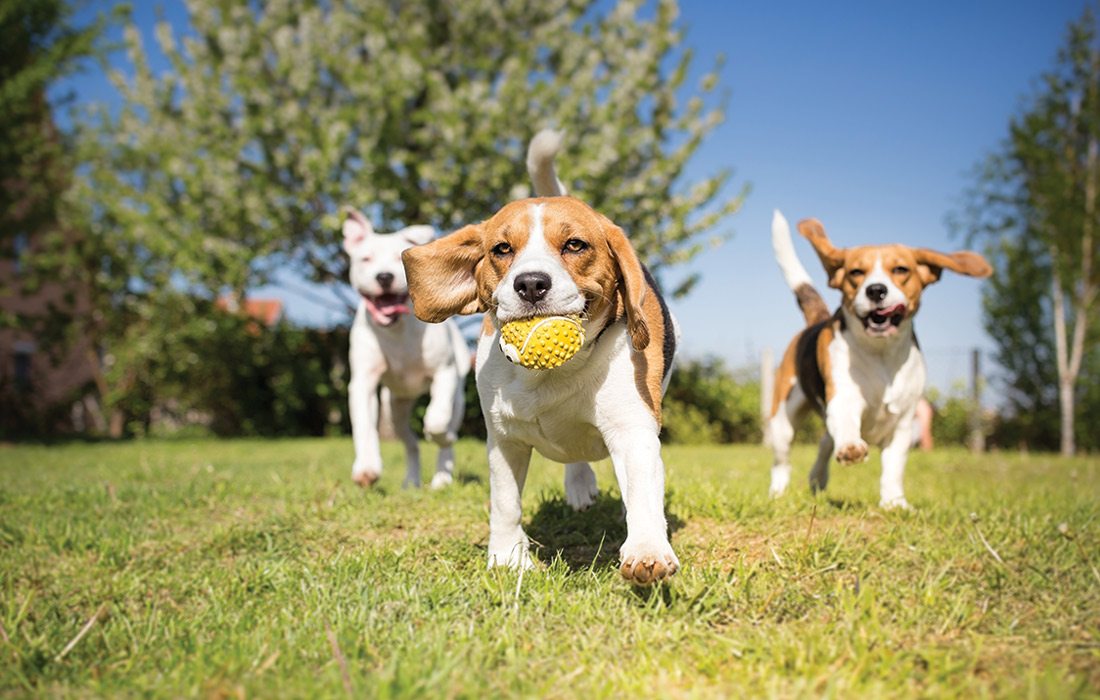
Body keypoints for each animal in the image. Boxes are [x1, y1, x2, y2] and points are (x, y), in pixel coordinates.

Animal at [341, 210, 466, 488]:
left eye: (399, 258)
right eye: (366, 258)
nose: (384, 276)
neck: (396, 329)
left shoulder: (444, 373)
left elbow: (436, 420)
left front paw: (439, 435)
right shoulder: (363, 382)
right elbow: (364, 426)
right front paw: (366, 468)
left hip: (457, 397)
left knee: (446, 431)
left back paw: (441, 477)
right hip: (395, 408)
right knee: (410, 442)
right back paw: (411, 481)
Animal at [402, 132, 677, 585]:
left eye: (574, 245)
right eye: (501, 249)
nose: (531, 283)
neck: (551, 375)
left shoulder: (632, 429)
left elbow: (641, 492)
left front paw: (647, 550)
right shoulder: (504, 440)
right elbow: (505, 503)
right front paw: (507, 558)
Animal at [770, 209, 994, 508]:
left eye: (900, 269)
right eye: (856, 272)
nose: (875, 290)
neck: (882, 354)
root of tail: (817, 321)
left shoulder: (903, 422)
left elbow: (893, 468)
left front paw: (894, 503)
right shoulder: (844, 398)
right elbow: (846, 425)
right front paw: (851, 448)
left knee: (825, 442)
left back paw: (818, 479)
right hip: (782, 421)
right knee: (783, 461)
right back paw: (777, 492)